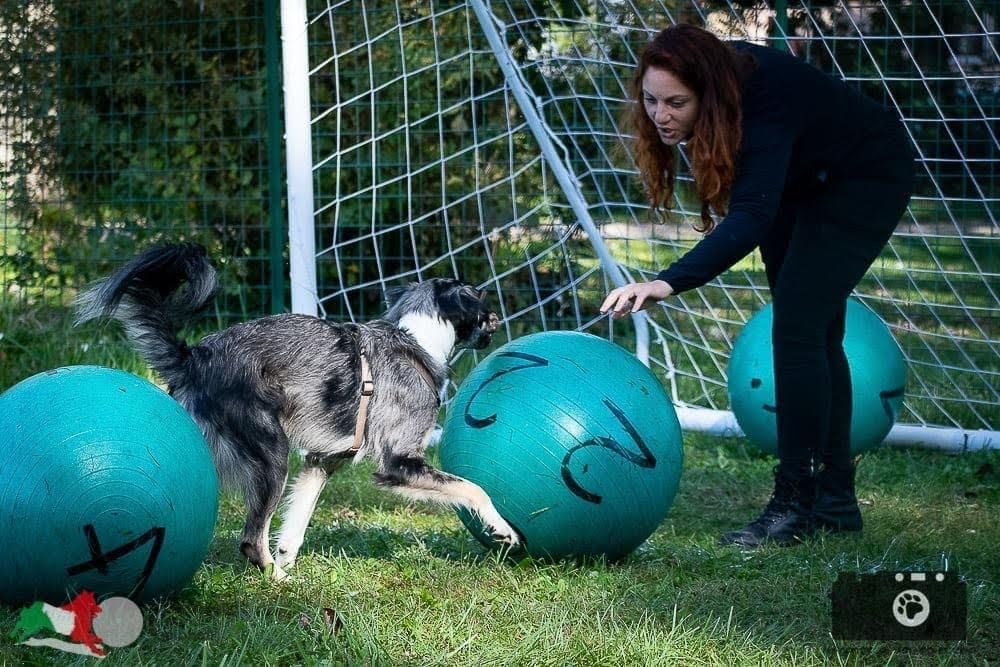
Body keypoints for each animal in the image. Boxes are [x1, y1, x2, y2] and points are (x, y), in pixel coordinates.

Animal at [74, 244, 520, 580]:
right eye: (483, 305)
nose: (497, 321)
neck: (416, 340)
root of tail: (194, 357)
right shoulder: (399, 464)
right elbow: (472, 488)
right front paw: (502, 528)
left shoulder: (321, 462)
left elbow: (296, 524)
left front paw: (288, 554)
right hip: (272, 455)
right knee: (251, 539)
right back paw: (277, 581)